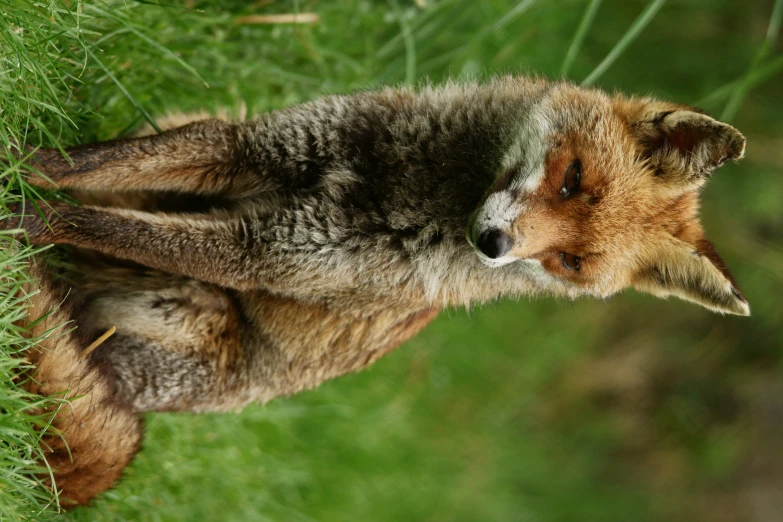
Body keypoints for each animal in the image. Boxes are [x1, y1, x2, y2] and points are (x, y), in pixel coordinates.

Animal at [3, 76, 752, 504]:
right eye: (571, 179)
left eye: (569, 262)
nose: (494, 245)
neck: (400, 185)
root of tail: (139, 419)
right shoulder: (251, 147)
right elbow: (75, 170)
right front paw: (21, 161)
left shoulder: (257, 251)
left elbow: (80, 217)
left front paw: (20, 214)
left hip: (195, 310)